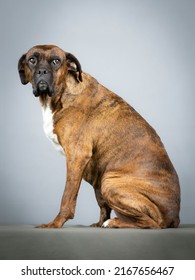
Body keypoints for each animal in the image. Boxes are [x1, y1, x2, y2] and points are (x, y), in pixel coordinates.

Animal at [17, 44, 181, 229]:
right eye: (32, 60)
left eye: (56, 61)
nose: (42, 71)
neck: (61, 94)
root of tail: (175, 217)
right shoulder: (93, 171)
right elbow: (102, 203)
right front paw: (99, 221)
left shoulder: (77, 156)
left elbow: (67, 196)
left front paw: (56, 223)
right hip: (104, 180)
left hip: (110, 182)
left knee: (151, 223)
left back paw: (114, 222)